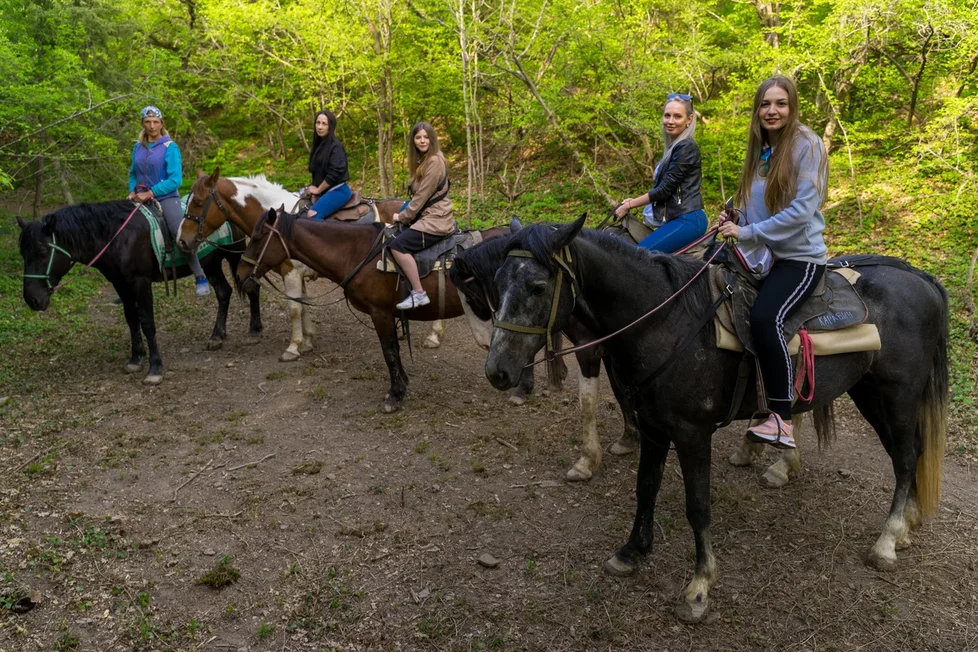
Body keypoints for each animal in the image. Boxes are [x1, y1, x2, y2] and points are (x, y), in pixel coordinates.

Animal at [17, 201, 262, 384]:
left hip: (235, 254)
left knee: (252, 287)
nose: (32, 299)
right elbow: (131, 319)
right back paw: (217, 336)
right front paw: (135, 358)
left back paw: (255, 330)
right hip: (210, 262)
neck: (117, 237)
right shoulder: (121, 284)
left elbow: (147, 322)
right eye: (22, 253)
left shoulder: (141, 283)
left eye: (42, 252)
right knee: (224, 292)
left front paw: (155, 368)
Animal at [458, 216, 944, 624]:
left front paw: (698, 588)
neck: (664, 320)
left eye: (538, 287)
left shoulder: (692, 434)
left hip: (895, 395)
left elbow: (698, 506)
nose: (497, 370)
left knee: (905, 458)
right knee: (908, 455)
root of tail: (919, 279)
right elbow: (645, 487)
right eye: (497, 282)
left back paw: (886, 542)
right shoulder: (653, 427)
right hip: (869, 392)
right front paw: (631, 552)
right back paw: (905, 527)